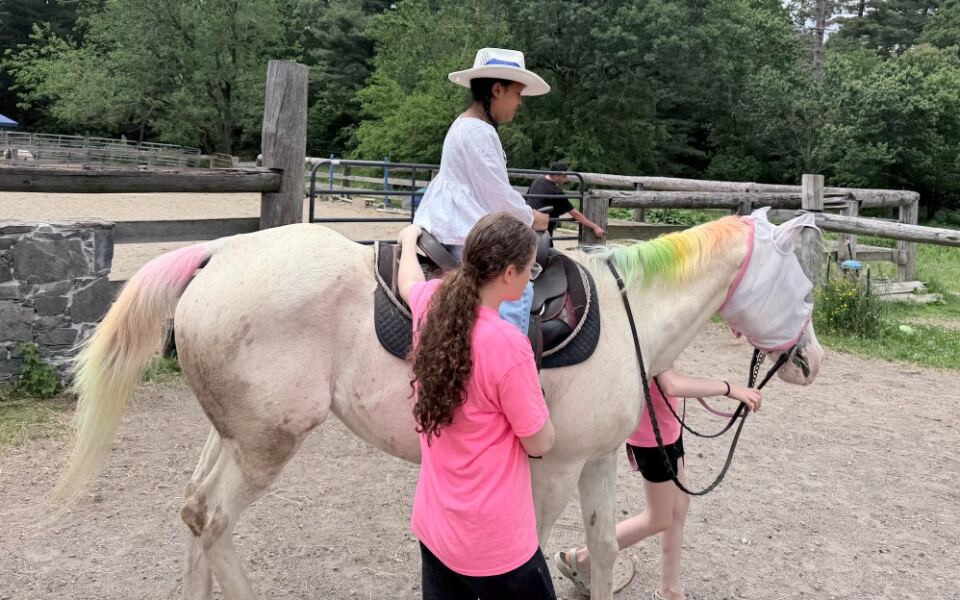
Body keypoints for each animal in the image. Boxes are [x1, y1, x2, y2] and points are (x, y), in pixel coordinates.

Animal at [55, 208, 824, 600]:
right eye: (805, 286)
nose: (811, 361)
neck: (622, 316)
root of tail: (220, 252)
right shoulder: (548, 472)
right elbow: (529, 555)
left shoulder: (597, 460)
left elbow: (603, 550)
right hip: (268, 443)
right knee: (213, 520)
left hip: (235, 434)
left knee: (193, 510)